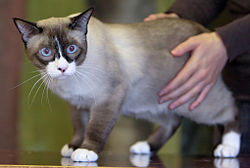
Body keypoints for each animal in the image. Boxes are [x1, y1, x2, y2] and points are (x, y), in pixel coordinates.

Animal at [13, 8, 240, 163]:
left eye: (71, 49)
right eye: (46, 52)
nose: (62, 68)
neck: (71, 80)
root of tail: (203, 30)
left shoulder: (108, 97)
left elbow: (95, 129)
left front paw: (86, 151)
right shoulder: (78, 104)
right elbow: (80, 127)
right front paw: (73, 146)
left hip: (195, 103)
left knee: (232, 109)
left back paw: (228, 148)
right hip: (153, 104)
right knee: (173, 121)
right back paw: (145, 147)